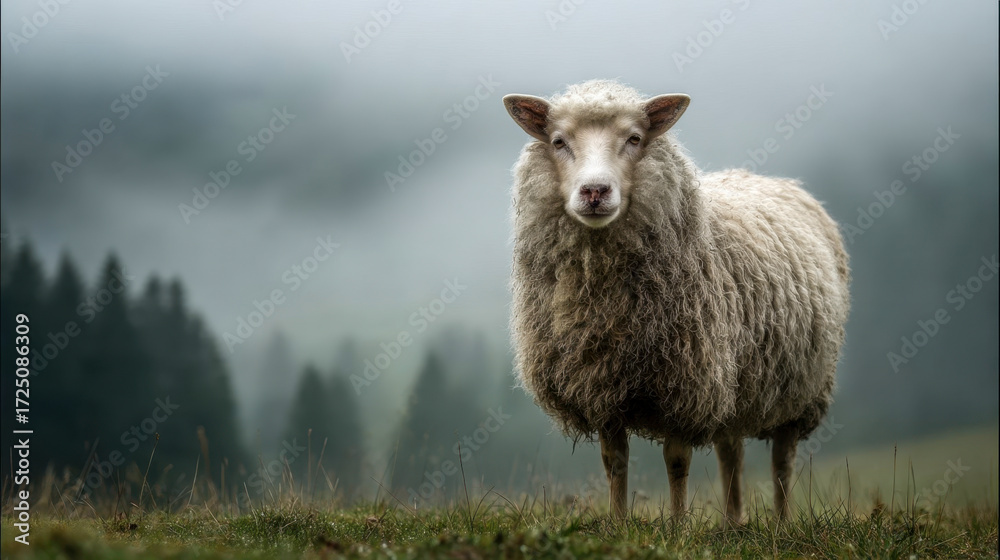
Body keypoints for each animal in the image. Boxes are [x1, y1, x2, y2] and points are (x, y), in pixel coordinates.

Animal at [502, 80, 850, 523]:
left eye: (634, 139)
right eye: (558, 141)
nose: (595, 191)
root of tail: (769, 179)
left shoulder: (686, 385)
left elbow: (677, 461)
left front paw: (679, 525)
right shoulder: (603, 385)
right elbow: (614, 461)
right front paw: (618, 523)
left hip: (800, 387)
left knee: (782, 462)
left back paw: (781, 523)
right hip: (735, 382)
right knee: (731, 452)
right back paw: (732, 523)